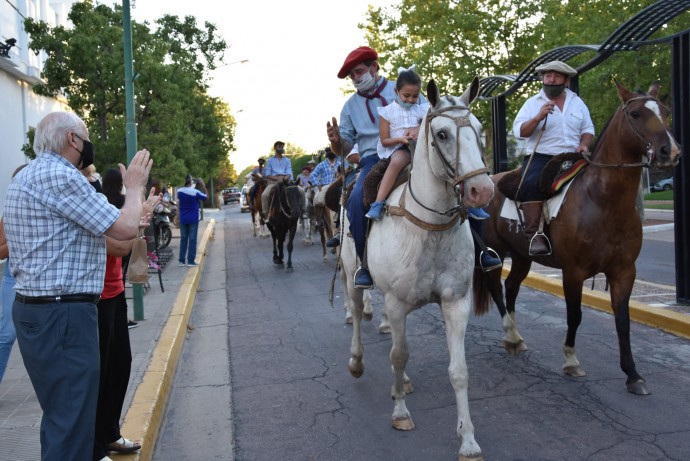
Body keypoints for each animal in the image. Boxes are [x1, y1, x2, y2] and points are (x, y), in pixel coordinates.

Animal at [340, 79, 492, 460]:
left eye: (479, 129)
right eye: (441, 134)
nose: (482, 190)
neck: (431, 227)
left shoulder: (456, 303)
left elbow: (459, 371)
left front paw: (468, 440)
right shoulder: (396, 303)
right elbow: (398, 354)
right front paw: (400, 413)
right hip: (351, 276)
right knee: (357, 313)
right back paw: (357, 361)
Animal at [476, 80, 680, 396]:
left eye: (667, 112)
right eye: (635, 113)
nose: (669, 151)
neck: (603, 200)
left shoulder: (624, 271)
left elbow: (623, 320)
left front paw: (633, 374)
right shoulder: (573, 271)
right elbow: (575, 315)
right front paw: (571, 360)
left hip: (521, 256)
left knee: (511, 287)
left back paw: (517, 337)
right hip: (494, 252)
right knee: (497, 289)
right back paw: (510, 336)